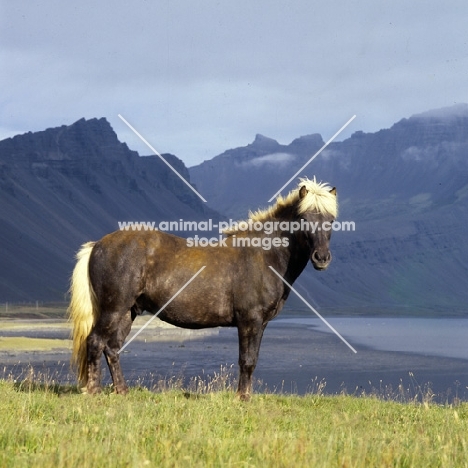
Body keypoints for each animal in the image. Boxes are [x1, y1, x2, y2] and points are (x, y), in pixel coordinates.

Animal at [68, 177, 336, 400]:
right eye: (304, 219)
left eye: (331, 221)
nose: (321, 258)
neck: (264, 254)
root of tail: (97, 245)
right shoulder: (250, 320)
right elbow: (246, 360)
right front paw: (242, 398)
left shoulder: (260, 324)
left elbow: (253, 359)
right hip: (112, 310)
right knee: (95, 342)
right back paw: (93, 391)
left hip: (127, 312)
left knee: (112, 348)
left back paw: (122, 391)